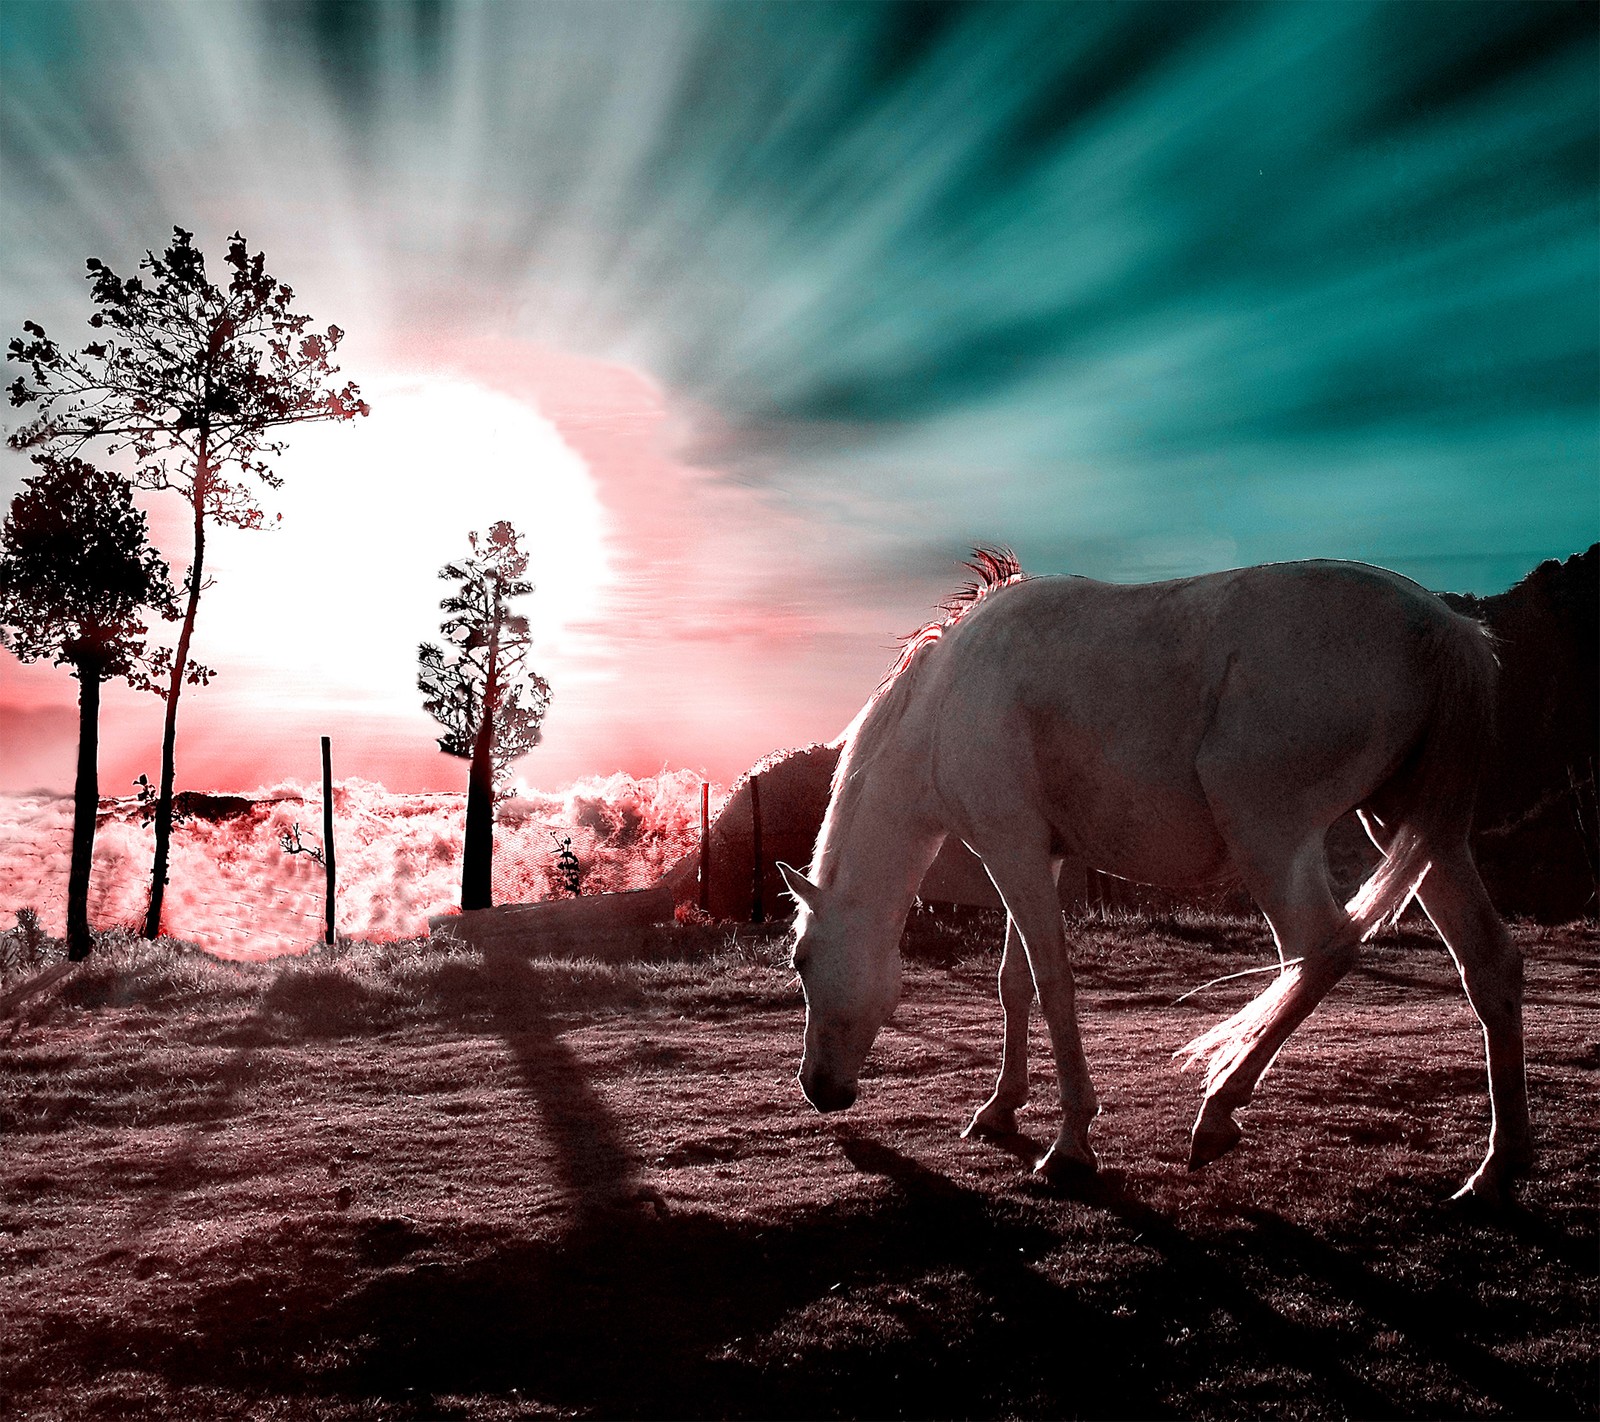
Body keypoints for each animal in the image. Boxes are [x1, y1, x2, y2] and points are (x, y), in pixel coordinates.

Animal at [780, 550, 1529, 1202]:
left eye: (801, 961)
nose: (819, 1089)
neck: (945, 701)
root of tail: (1445, 627)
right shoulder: (1041, 856)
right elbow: (1014, 983)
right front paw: (999, 1109)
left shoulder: (1010, 849)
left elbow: (1052, 985)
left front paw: (1070, 1145)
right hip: (1417, 832)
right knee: (1490, 965)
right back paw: (1498, 1169)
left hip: (1270, 834)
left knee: (1321, 952)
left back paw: (1219, 1112)